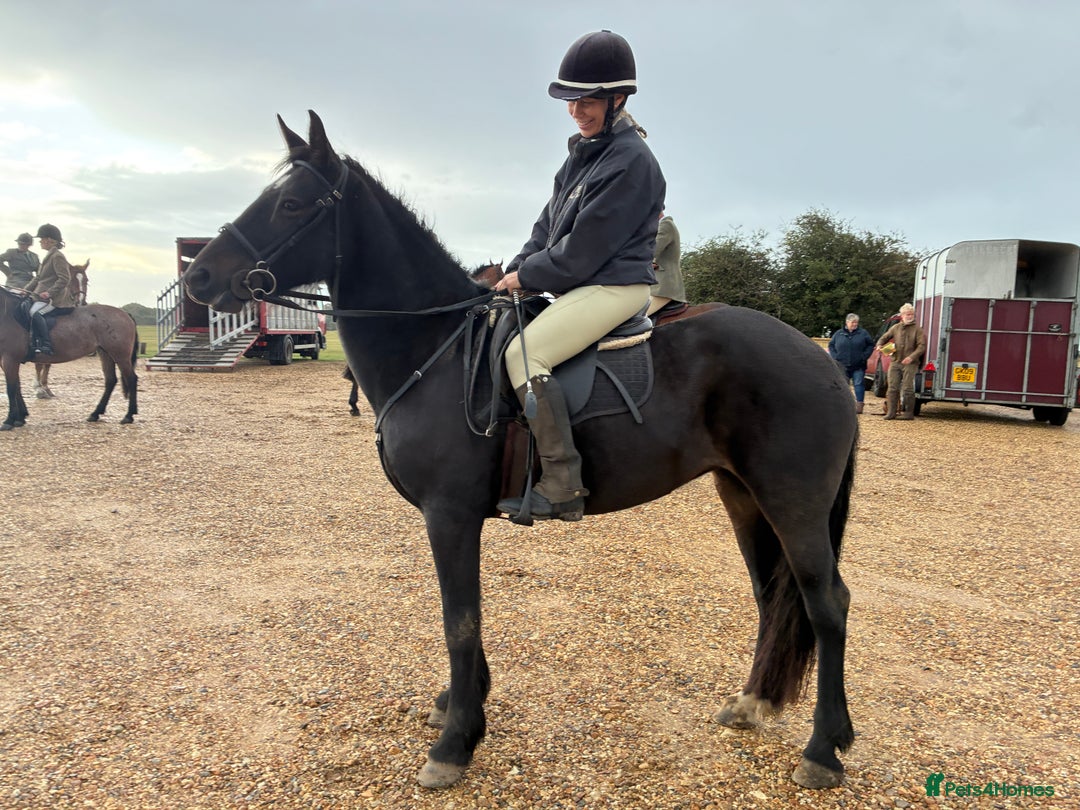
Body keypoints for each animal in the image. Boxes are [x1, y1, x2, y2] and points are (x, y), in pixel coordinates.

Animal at [0, 288, 139, 430]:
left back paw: (128, 415)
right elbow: (16, 386)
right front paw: (20, 418)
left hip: (120, 355)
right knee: (110, 380)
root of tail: (124, 313)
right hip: (105, 353)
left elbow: (11, 388)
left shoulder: (10, 359)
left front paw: (9, 420)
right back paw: (95, 414)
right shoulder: (8, 361)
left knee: (131, 379)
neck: (8, 315)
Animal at [184, 111, 858, 791]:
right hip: (743, 495)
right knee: (774, 595)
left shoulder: (449, 514)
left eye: (292, 203)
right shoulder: (455, 518)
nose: (199, 277)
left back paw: (824, 748)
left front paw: (456, 742)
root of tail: (821, 359)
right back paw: (755, 704)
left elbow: (459, 620)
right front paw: (460, 705)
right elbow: (466, 618)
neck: (436, 349)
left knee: (826, 602)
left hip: (793, 500)